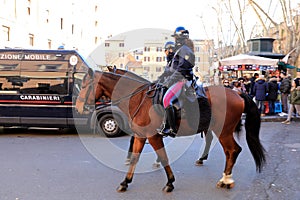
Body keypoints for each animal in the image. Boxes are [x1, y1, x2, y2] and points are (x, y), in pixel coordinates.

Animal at [76, 68, 266, 192]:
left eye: (85, 85)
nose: (77, 106)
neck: (139, 98)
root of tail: (236, 93)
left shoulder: (153, 136)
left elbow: (163, 157)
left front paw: (170, 182)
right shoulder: (141, 136)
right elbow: (136, 158)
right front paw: (125, 182)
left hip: (224, 132)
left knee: (233, 150)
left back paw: (226, 179)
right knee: (227, 150)